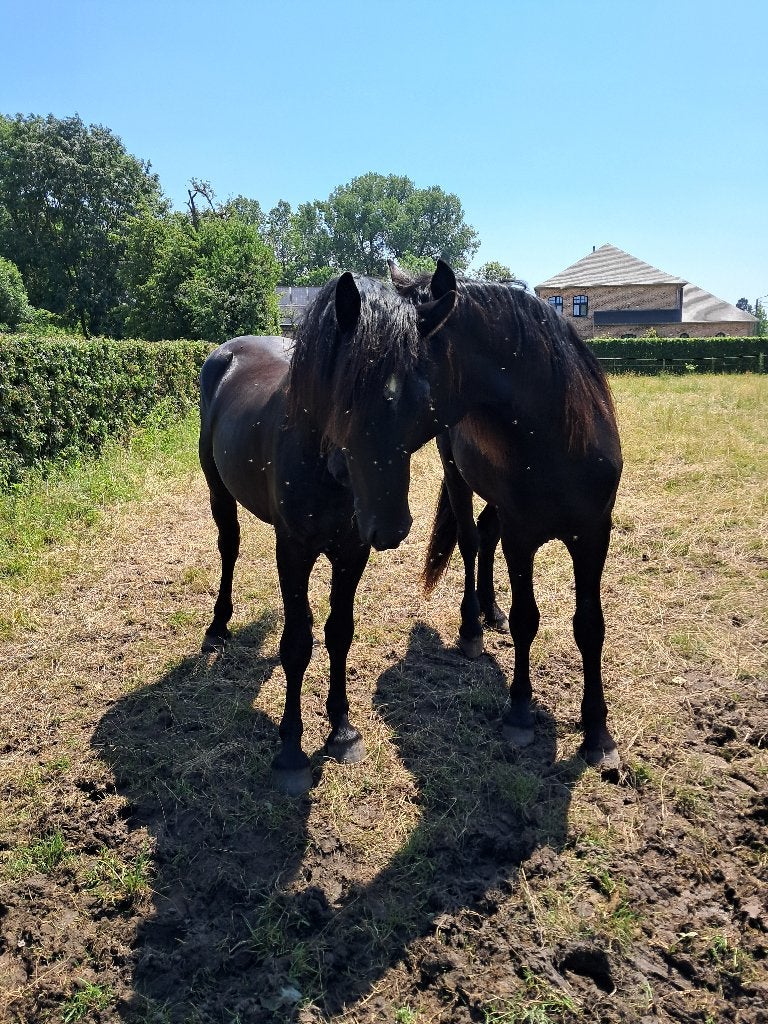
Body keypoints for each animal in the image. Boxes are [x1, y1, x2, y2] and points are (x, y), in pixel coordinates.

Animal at [199, 272, 452, 795]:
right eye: (345, 395)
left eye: (424, 403)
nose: (390, 526)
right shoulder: (294, 551)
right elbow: (297, 643)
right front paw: (291, 750)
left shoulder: (351, 552)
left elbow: (339, 633)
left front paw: (341, 730)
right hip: (217, 489)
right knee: (229, 546)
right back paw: (218, 626)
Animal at [289, 260, 623, 769]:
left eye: (395, 388)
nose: (333, 462)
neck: (559, 443)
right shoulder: (523, 537)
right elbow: (527, 618)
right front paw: (520, 714)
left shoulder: (593, 536)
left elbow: (590, 627)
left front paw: (598, 734)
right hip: (458, 477)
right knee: (471, 541)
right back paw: (471, 627)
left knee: (485, 536)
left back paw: (489, 609)